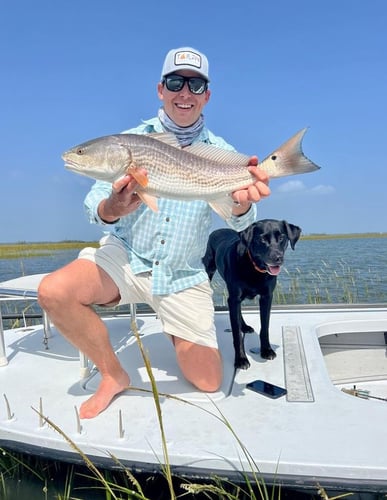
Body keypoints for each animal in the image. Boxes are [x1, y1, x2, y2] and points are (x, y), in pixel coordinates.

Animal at [205, 221, 302, 370]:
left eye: (282, 237)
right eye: (262, 239)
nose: (277, 258)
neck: (254, 268)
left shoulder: (267, 297)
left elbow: (265, 327)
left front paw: (266, 350)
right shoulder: (234, 298)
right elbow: (237, 335)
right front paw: (241, 359)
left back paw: (244, 326)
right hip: (209, 270)